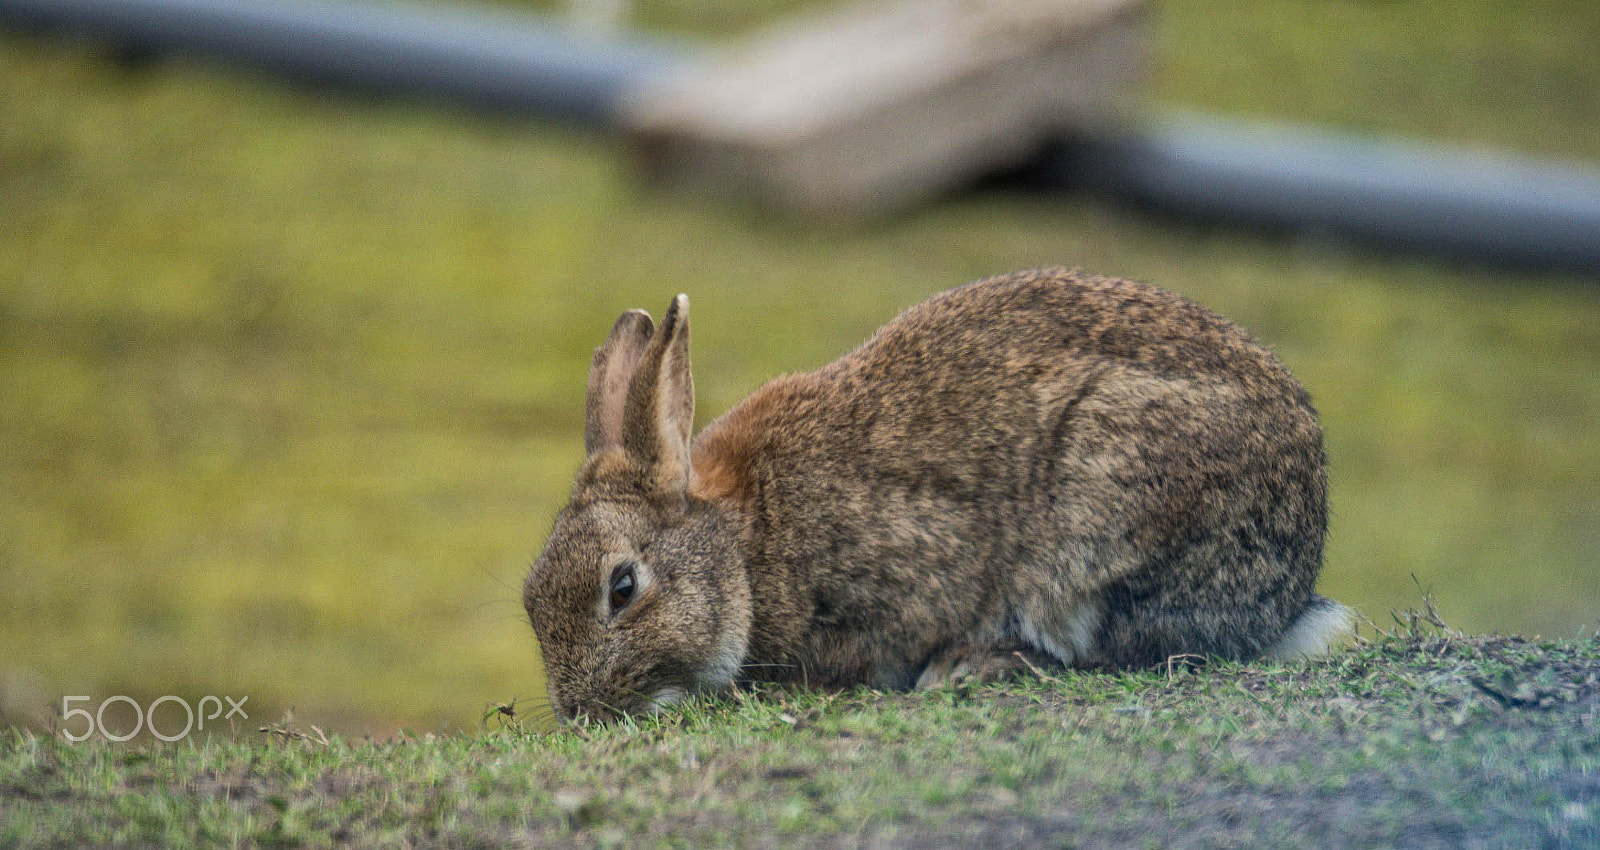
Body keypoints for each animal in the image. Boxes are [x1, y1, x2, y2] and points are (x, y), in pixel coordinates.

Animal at [522, 268, 1352, 723]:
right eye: (531, 601)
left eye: (622, 587)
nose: (578, 713)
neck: (745, 544)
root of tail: (1295, 583)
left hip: (1106, 514)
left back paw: (975, 666)